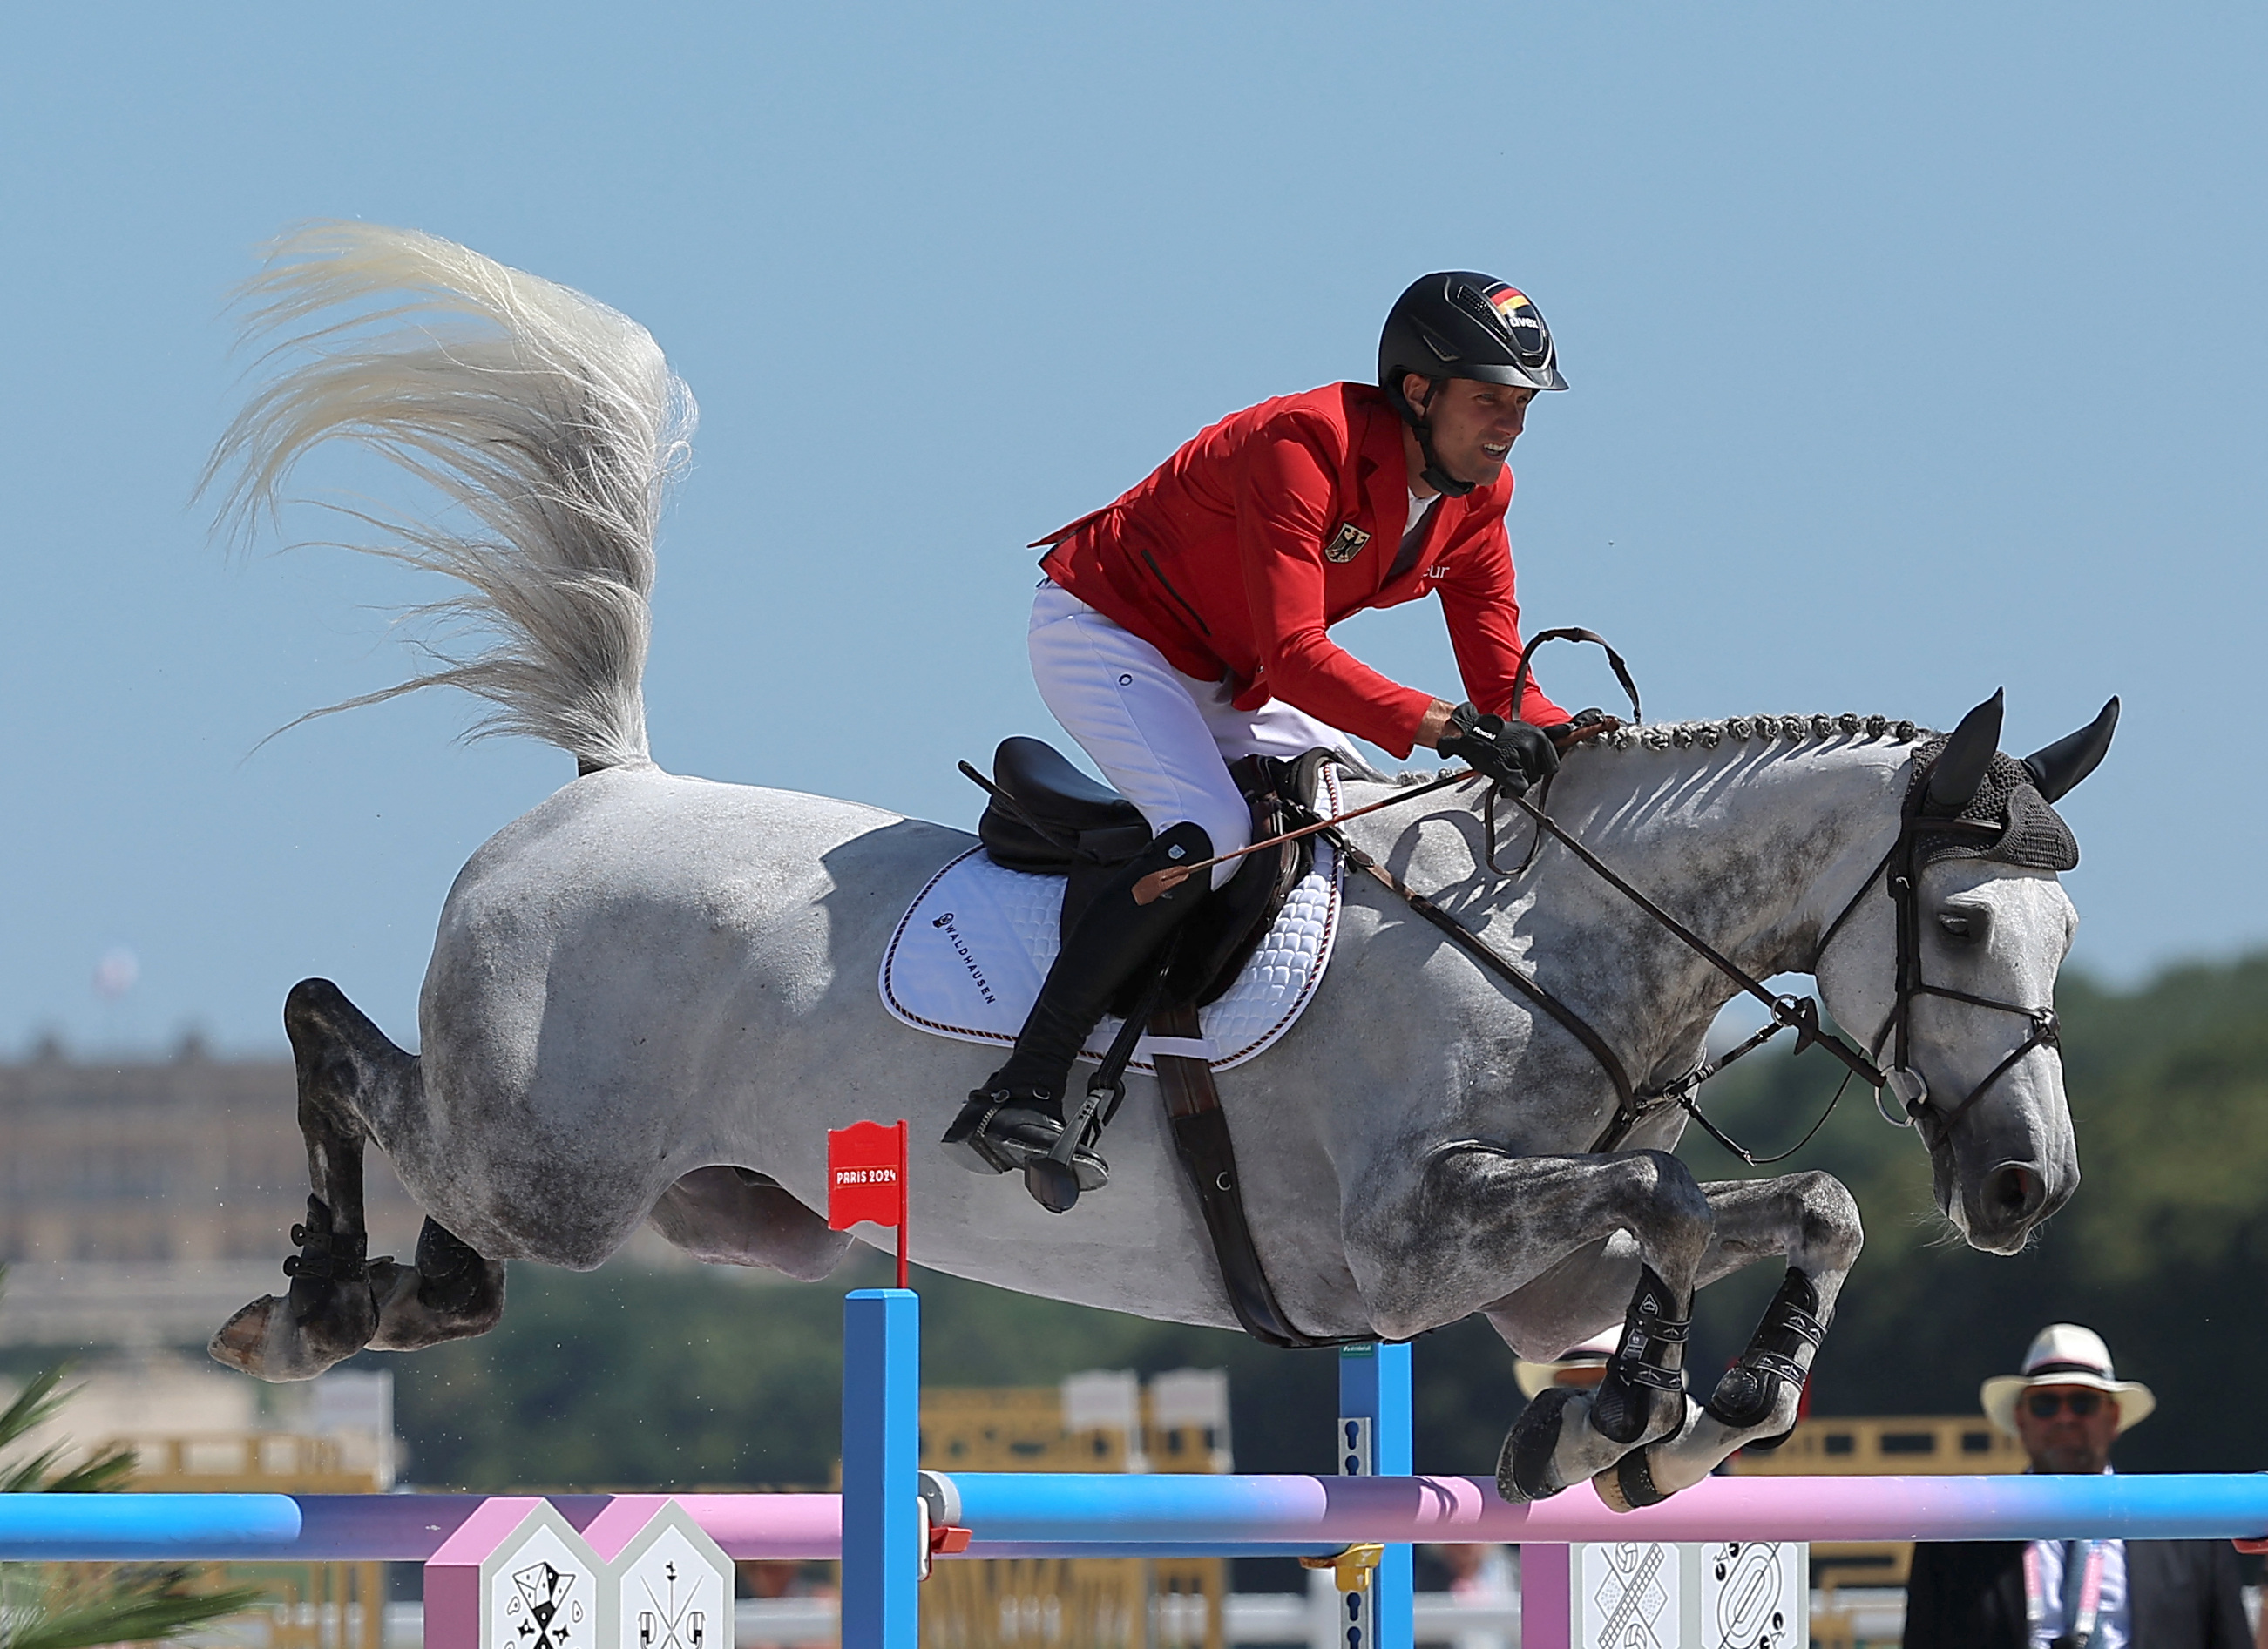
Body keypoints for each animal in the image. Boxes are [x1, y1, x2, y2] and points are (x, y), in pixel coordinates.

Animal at [204, 222, 2113, 1505]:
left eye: (2062, 930)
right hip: (556, 1164)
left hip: (722, 1212)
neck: (1551, 950)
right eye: (1956, 917)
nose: (2025, 1188)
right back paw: (305, 1298)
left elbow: (1779, 1204)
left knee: (451, 1243)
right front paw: (1640, 1409)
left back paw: (375, 1288)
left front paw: (1645, 1417)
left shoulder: (1521, 1269)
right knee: (336, 1042)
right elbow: (1661, 1194)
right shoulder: (1400, 1240)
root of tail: (609, 787)